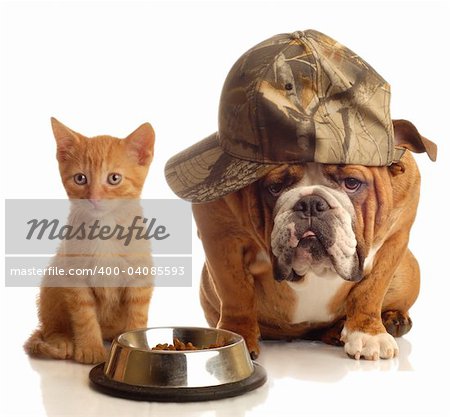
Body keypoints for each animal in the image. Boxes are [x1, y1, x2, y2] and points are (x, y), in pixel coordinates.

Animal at [24, 117, 155, 360]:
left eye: (114, 178)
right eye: (80, 178)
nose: (94, 198)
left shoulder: (139, 278)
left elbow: (137, 315)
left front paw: (137, 346)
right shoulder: (74, 278)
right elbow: (84, 316)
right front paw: (90, 349)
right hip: (52, 280)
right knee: (49, 327)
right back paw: (62, 340)